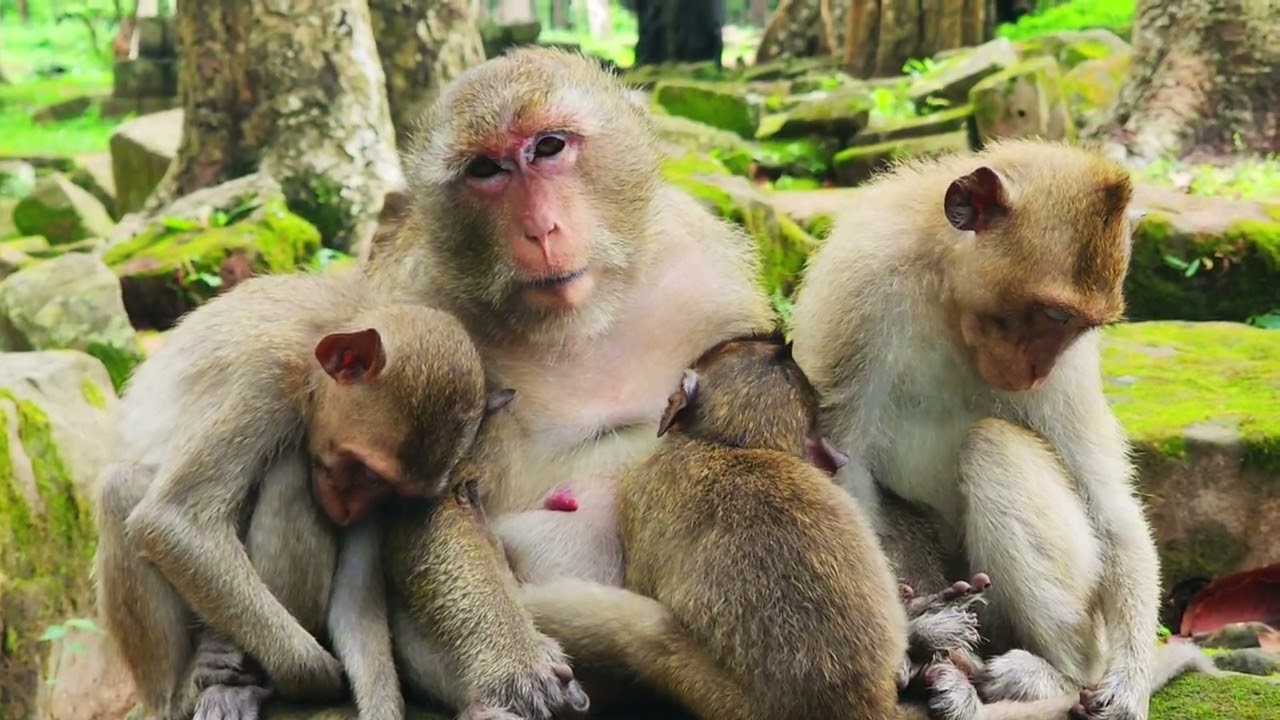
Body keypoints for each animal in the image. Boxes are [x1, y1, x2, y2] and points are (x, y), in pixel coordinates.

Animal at [92, 268, 584, 720]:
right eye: (362, 468)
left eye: (390, 492)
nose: (350, 511)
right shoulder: (266, 379)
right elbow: (174, 520)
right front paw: (315, 673)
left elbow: (356, 600)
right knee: (122, 487)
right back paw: (186, 693)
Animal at [788, 139, 1215, 719]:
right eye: (1055, 314)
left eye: (1082, 325)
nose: (1037, 371)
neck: (946, 291)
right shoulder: (860, 288)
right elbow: (839, 465)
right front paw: (914, 634)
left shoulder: (1071, 367)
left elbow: (1106, 502)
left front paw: (1129, 682)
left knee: (995, 446)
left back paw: (1046, 678)